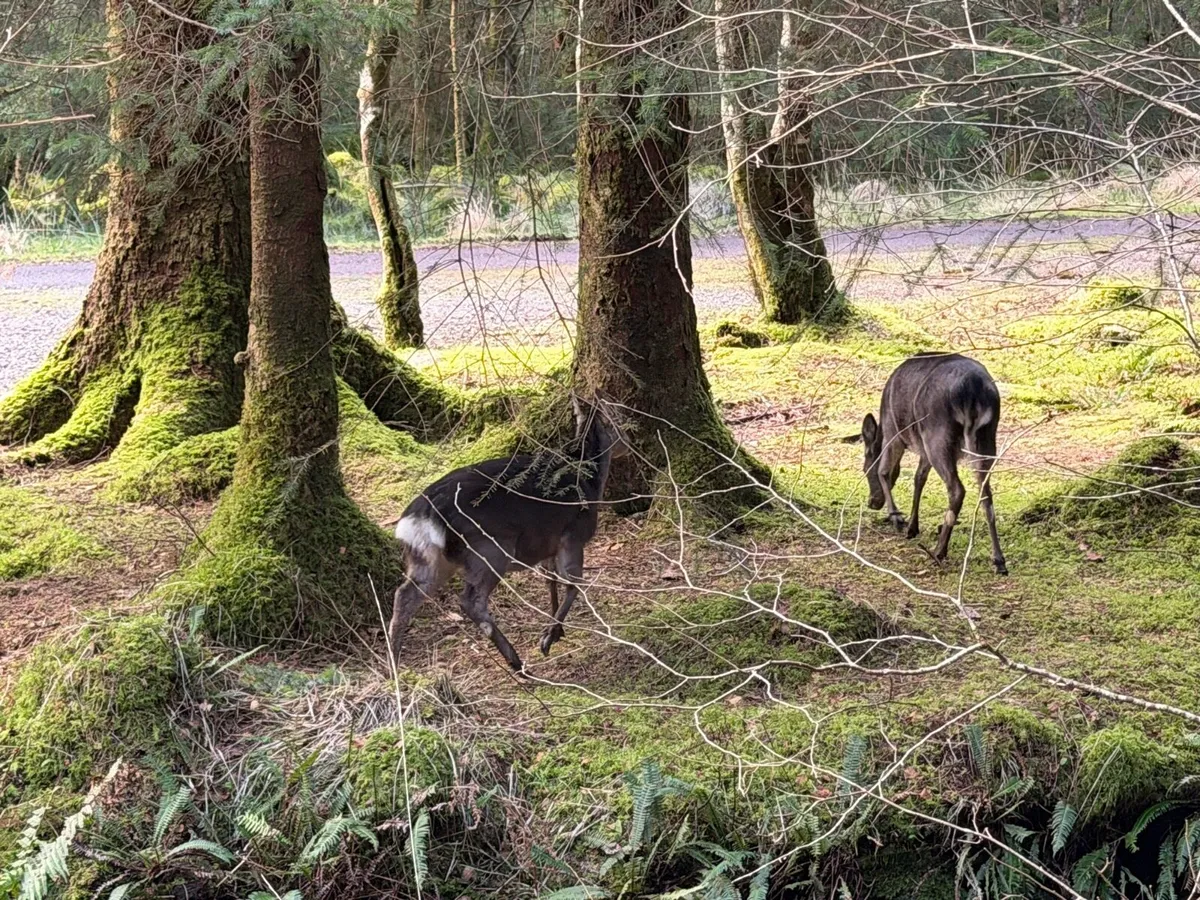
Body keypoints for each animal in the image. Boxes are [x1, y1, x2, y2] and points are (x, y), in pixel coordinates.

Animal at [388, 396, 630, 673]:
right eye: (620, 418)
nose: (629, 443)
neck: (588, 480)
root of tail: (421, 515)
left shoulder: (548, 544)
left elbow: (551, 580)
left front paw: (556, 631)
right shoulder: (573, 535)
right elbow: (574, 584)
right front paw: (548, 638)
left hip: (429, 557)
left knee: (404, 595)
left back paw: (394, 663)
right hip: (490, 548)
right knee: (471, 600)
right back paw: (515, 661)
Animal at [852, 353, 1008, 574]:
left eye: (865, 469)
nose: (872, 502)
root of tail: (972, 389)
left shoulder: (894, 430)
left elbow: (885, 471)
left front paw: (897, 518)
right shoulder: (922, 448)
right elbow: (919, 478)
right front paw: (912, 526)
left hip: (937, 434)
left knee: (957, 489)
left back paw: (939, 551)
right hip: (986, 435)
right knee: (986, 492)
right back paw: (999, 560)